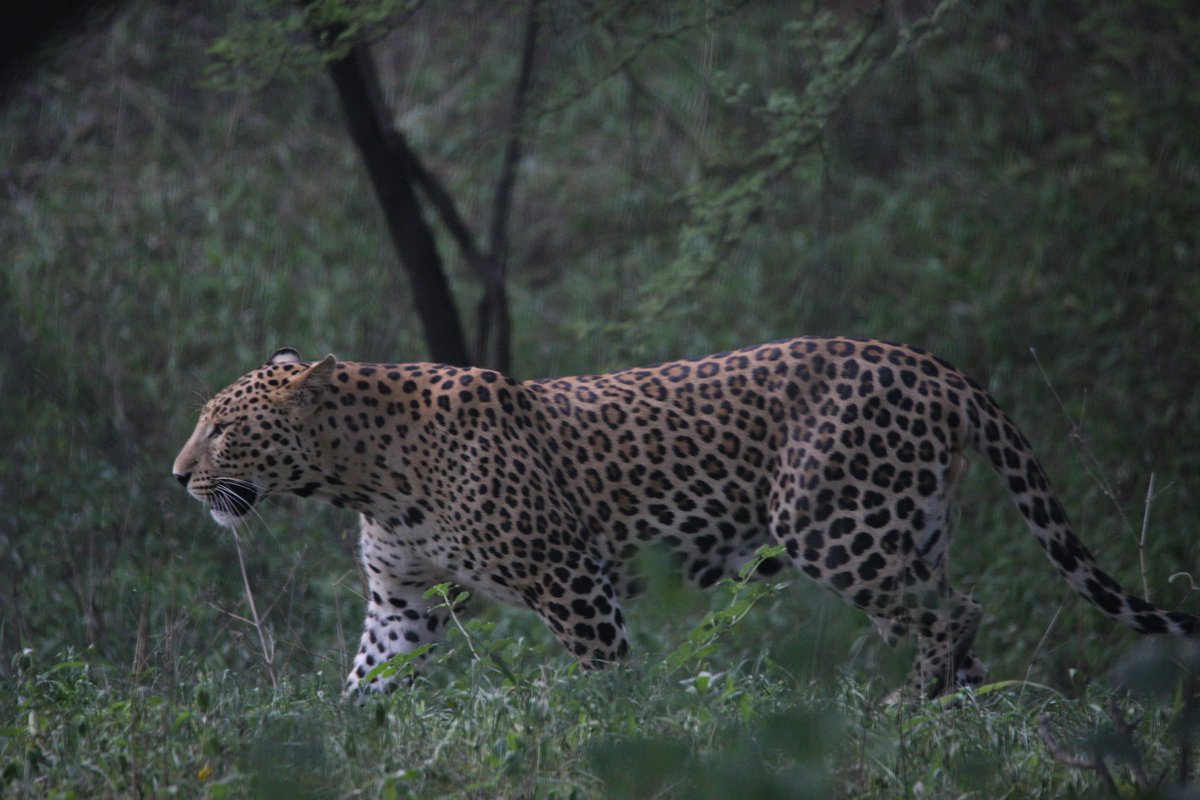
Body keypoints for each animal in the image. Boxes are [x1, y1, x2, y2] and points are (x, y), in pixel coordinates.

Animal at [174, 335, 1195, 695]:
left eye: (224, 427)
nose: (180, 476)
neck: (364, 474)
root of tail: (932, 364)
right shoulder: (403, 600)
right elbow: (365, 684)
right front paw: (343, 753)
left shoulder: (571, 582)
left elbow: (608, 686)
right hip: (914, 528)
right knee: (964, 625)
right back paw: (956, 722)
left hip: (839, 529)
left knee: (955, 615)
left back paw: (913, 712)